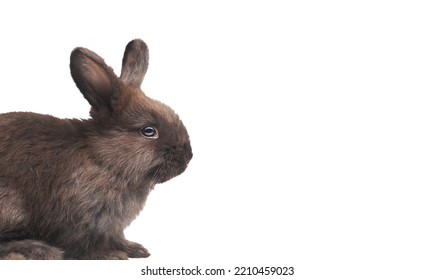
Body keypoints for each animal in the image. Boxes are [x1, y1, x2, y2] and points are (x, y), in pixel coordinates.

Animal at [0, 39, 192, 260]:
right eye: (149, 131)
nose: (187, 157)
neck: (103, 159)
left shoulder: (110, 226)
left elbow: (116, 237)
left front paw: (135, 249)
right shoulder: (79, 219)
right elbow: (84, 245)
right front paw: (111, 255)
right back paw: (38, 249)